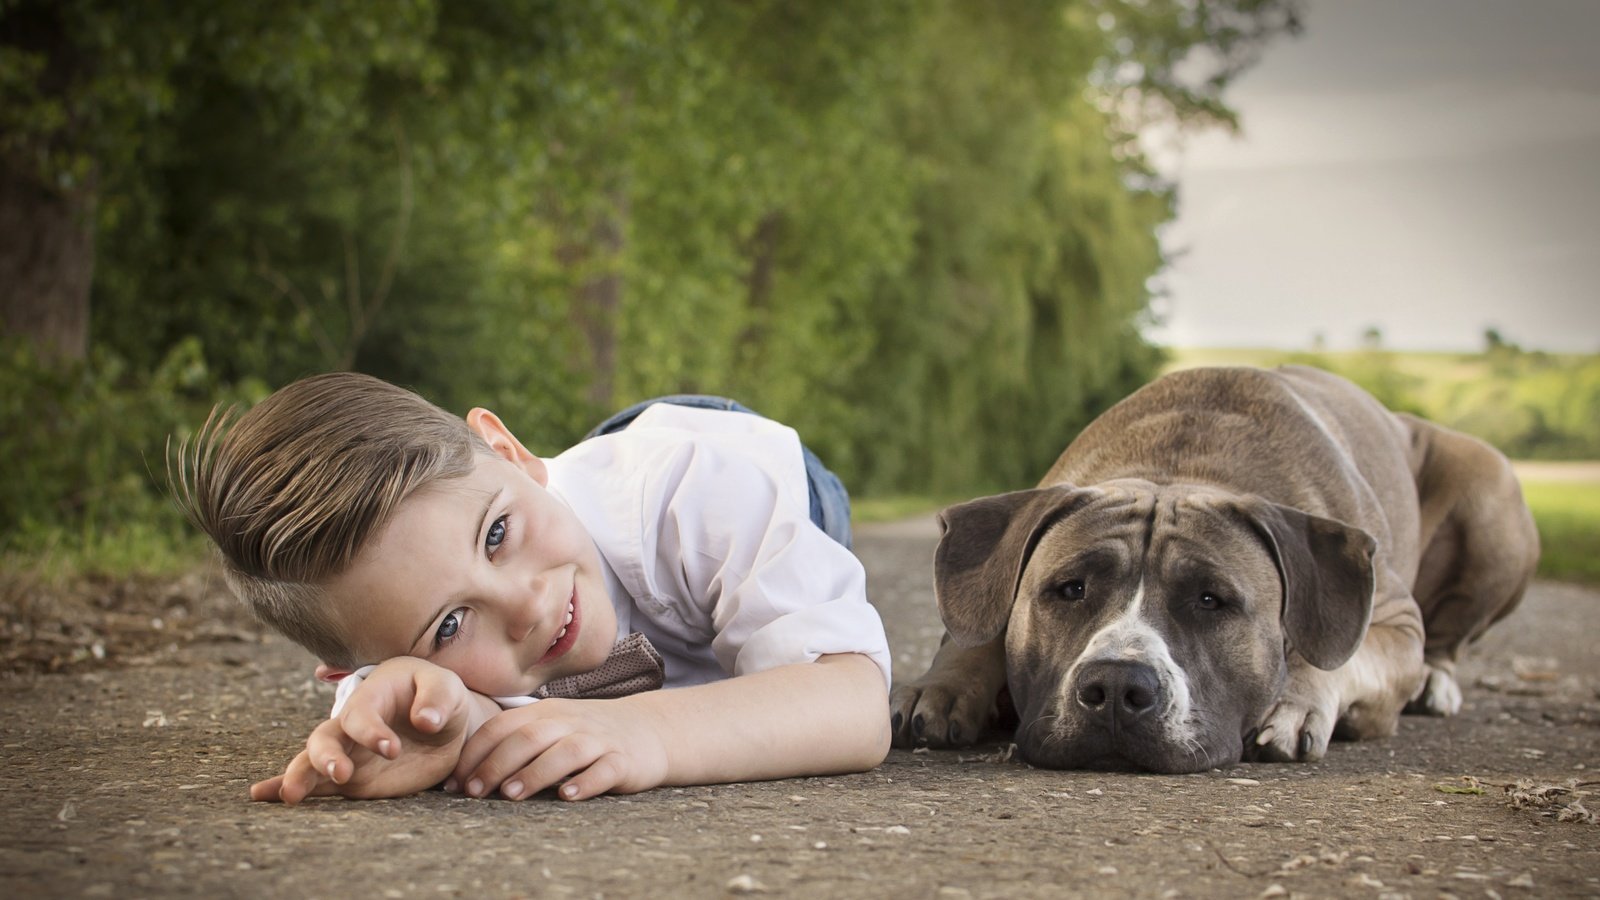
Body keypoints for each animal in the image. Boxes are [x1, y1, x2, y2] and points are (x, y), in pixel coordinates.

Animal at [889, 365, 1536, 771]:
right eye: (1069, 589)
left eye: (1210, 600)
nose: (1117, 687)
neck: (1178, 467)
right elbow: (976, 626)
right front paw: (938, 687)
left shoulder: (1397, 620)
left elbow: (1341, 657)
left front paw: (1294, 701)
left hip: (1493, 494)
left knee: (1450, 639)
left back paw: (1435, 684)